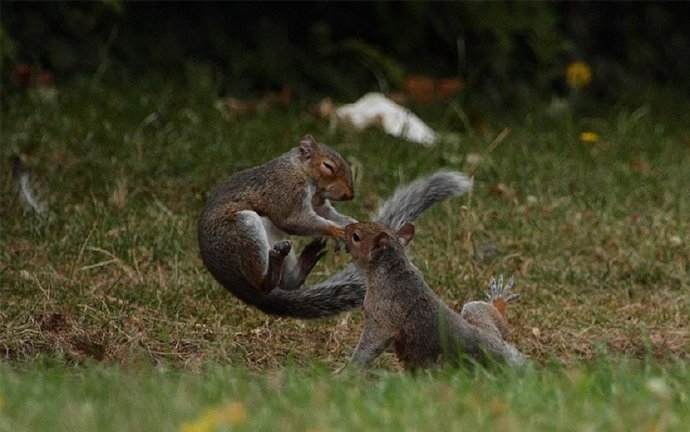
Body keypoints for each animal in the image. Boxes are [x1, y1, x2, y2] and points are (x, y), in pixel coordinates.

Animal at [196, 133, 470, 318]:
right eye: (328, 166)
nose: (350, 195)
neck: (299, 170)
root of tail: (241, 290)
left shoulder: (319, 203)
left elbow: (327, 213)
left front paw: (351, 224)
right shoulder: (285, 192)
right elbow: (295, 219)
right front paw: (337, 231)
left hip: (268, 233)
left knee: (286, 283)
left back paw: (304, 261)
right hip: (242, 231)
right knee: (263, 282)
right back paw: (273, 266)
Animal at [342, 221, 524, 370]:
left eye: (356, 237)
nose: (346, 227)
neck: (393, 270)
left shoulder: (383, 313)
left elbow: (370, 345)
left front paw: (349, 371)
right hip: (476, 314)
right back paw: (499, 301)